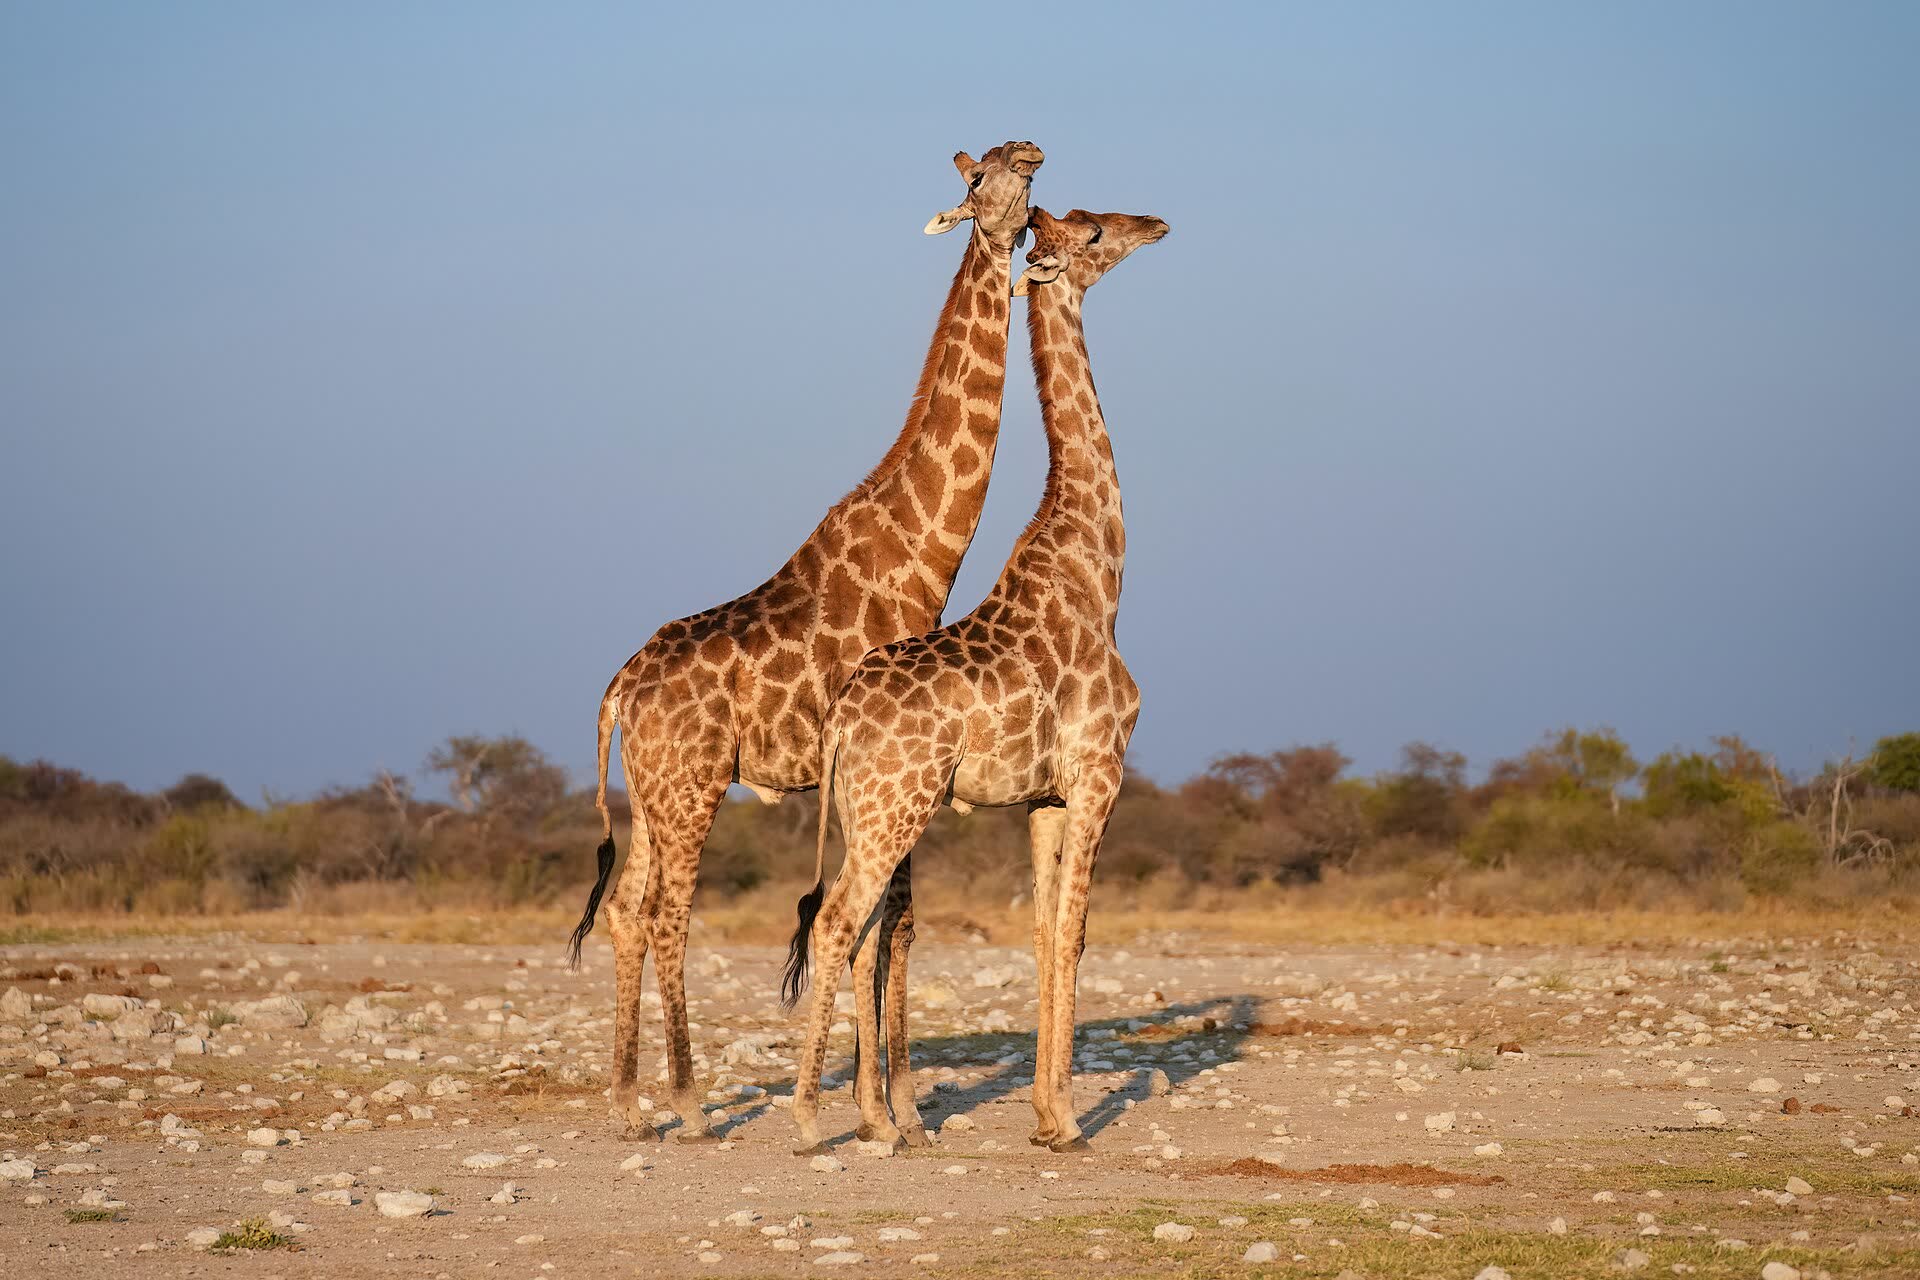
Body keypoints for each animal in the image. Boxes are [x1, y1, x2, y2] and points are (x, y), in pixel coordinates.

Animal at [567, 140, 1044, 1142]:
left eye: (1023, 176)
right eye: (981, 183)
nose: (1031, 152)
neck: (923, 557)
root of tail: (619, 690)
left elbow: (885, 924)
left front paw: (885, 1103)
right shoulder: (894, 764)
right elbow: (890, 922)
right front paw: (890, 1113)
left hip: (649, 792)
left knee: (625, 910)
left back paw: (628, 1104)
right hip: (693, 784)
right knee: (665, 914)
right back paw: (689, 1102)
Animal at [785, 206, 1169, 1154]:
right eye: (1096, 233)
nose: (1156, 224)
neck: (1100, 572)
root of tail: (840, 720)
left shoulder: (1044, 798)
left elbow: (1042, 933)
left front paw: (1045, 1115)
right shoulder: (1100, 774)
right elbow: (1075, 934)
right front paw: (1070, 1123)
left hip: (866, 812)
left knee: (857, 930)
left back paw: (877, 1121)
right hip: (897, 807)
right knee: (839, 923)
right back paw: (815, 1120)